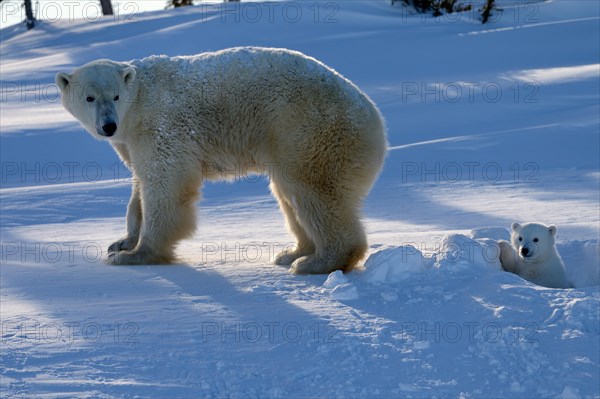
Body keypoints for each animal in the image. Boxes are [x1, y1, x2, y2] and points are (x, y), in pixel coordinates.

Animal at [56, 45, 384, 274]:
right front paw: (121, 242)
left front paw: (135, 255)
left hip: (308, 131)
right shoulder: (129, 141)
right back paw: (292, 252)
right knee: (287, 193)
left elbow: (166, 183)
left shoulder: (160, 126)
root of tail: (374, 117)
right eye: (89, 97)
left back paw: (315, 262)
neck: (138, 102)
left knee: (312, 191)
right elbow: (139, 185)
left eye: (115, 96)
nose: (108, 126)